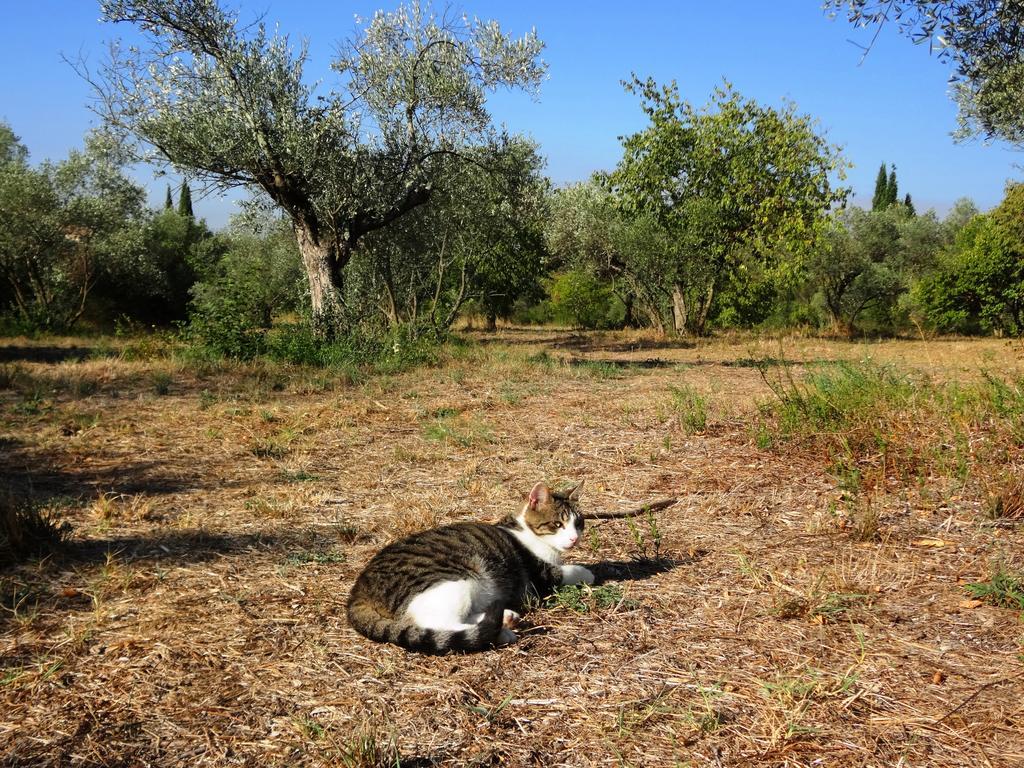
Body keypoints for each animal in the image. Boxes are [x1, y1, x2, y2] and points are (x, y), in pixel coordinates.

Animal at [348, 481, 598, 655]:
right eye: (558, 524)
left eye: (579, 523)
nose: (574, 538)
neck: (527, 532)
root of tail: (358, 590)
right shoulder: (540, 575)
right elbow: (569, 571)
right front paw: (589, 572)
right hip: (454, 582)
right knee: (434, 624)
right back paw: (502, 632)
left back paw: (506, 617)